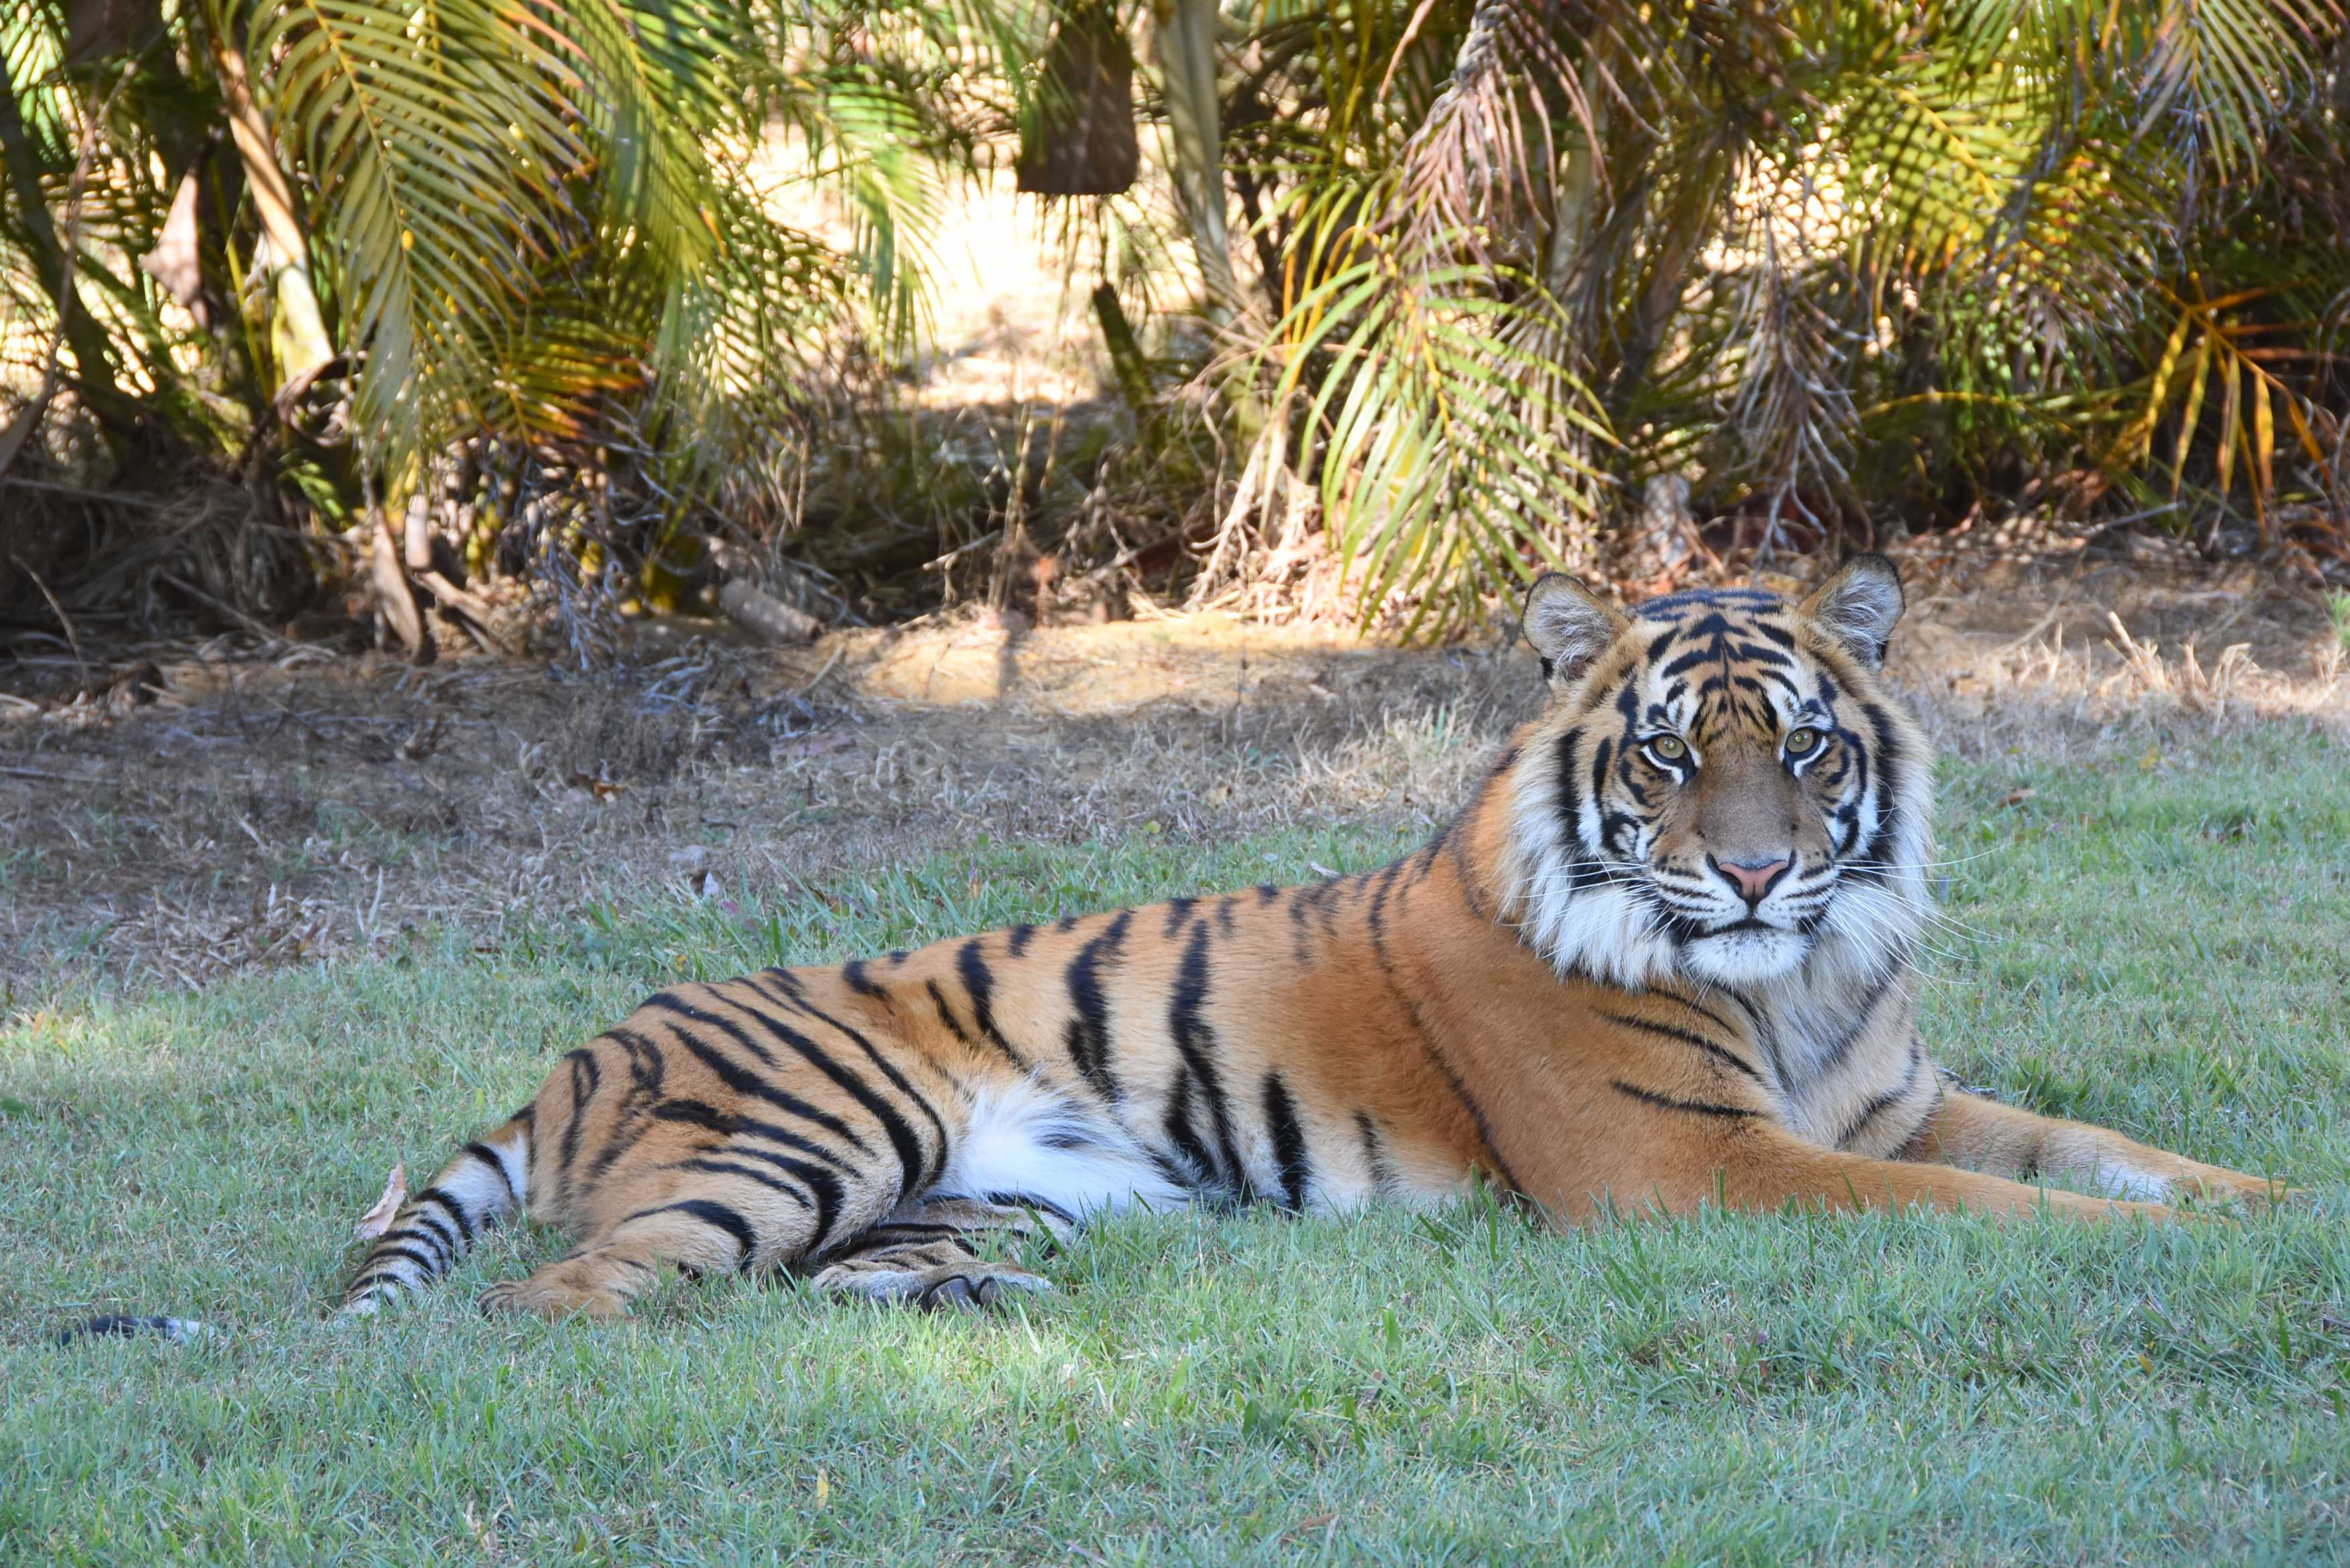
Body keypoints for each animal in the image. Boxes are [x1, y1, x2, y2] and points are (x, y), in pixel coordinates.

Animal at [348, 557, 2293, 1316]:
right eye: (1670, 754)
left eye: (1804, 749)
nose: (1750, 877)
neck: (1796, 983)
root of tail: (579, 1049)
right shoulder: (1692, 1167)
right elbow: (1989, 1205)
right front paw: (2156, 1256)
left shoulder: (1891, 1104)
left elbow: (2108, 1151)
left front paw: (2277, 1211)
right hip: (823, 1122)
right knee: (573, 1294)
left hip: (987, 1188)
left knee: (815, 1277)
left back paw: (988, 1307)